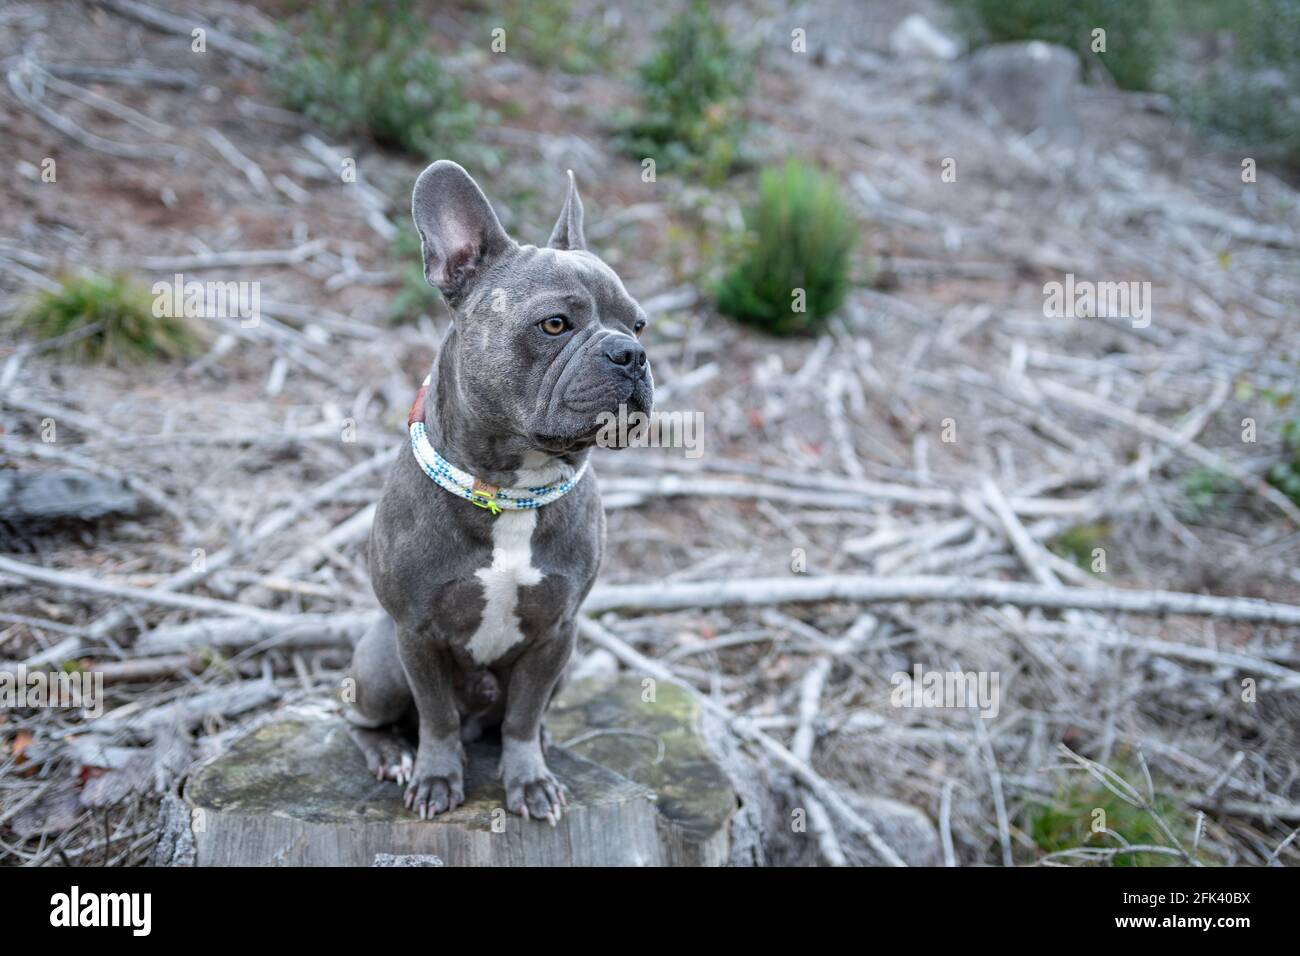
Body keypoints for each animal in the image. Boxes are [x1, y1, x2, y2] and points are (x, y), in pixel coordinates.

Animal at [345, 162, 650, 822]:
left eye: (639, 324)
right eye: (554, 324)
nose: (632, 353)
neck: (510, 491)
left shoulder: (557, 634)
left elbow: (522, 717)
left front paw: (528, 779)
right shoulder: (417, 634)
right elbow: (435, 716)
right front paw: (436, 778)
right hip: (380, 663)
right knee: (364, 718)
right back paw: (391, 754)